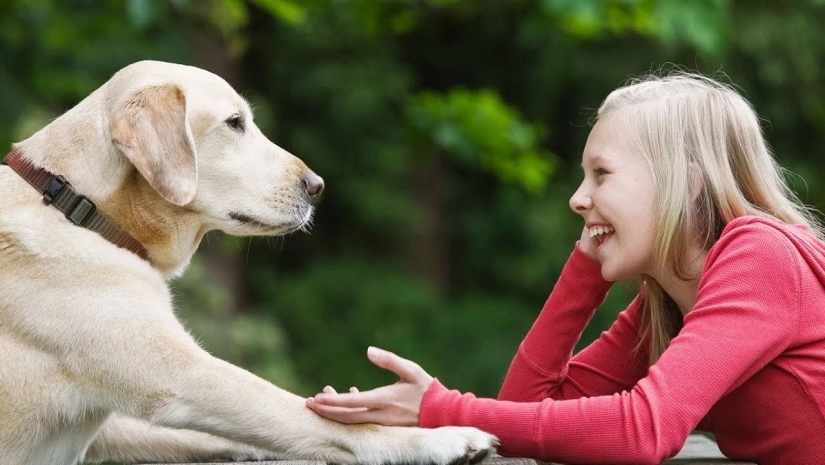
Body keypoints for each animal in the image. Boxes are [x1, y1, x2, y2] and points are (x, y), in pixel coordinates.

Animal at [0, 61, 496, 464]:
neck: (76, 203)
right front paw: (441, 438)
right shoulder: (183, 377)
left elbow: (245, 433)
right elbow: (311, 417)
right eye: (234, 123)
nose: (317, 185)